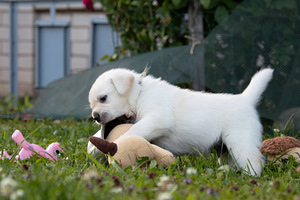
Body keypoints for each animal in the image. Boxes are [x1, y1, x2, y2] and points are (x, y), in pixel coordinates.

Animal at [87, 68, 274, 176]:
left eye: (103, 98)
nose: (95, 117)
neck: (139, 94)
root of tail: (245, 99)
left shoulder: (157, 119)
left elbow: (132, 132)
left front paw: (115, 146)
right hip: (226, 149)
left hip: (241, 142)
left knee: (253, 162)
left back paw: (250, 179)